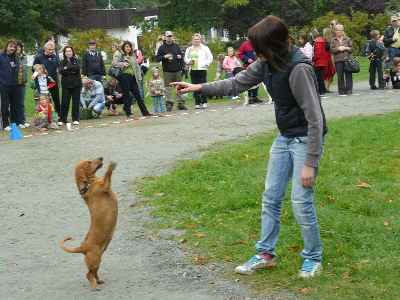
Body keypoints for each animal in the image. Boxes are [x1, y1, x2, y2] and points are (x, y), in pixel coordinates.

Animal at [59, 158, 118, 290]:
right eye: (88, 162)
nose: (101, 157)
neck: (89, 185)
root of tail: (83, 248)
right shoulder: (104, 186)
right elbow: (108, 174)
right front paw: (111, 165)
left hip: (98, 259)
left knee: (93, 272)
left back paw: (98, 281)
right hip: (95, 259)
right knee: (88, 274)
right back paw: (94, 286)